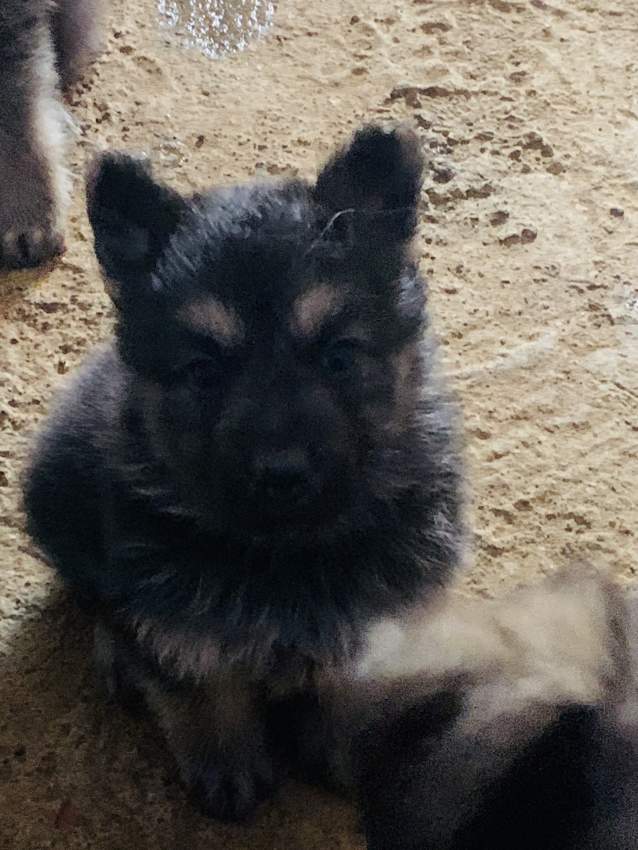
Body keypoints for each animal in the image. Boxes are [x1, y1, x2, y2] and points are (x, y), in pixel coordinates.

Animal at [23, 125, 466, 820]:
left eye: (339, 358)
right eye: (204, 372)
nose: (281, 474)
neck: (285, 551)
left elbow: (349, 691)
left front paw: (341, 750)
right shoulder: (179, 619)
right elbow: (200, 687)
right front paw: (227, 764)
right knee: (95, 592)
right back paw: (116, 653)